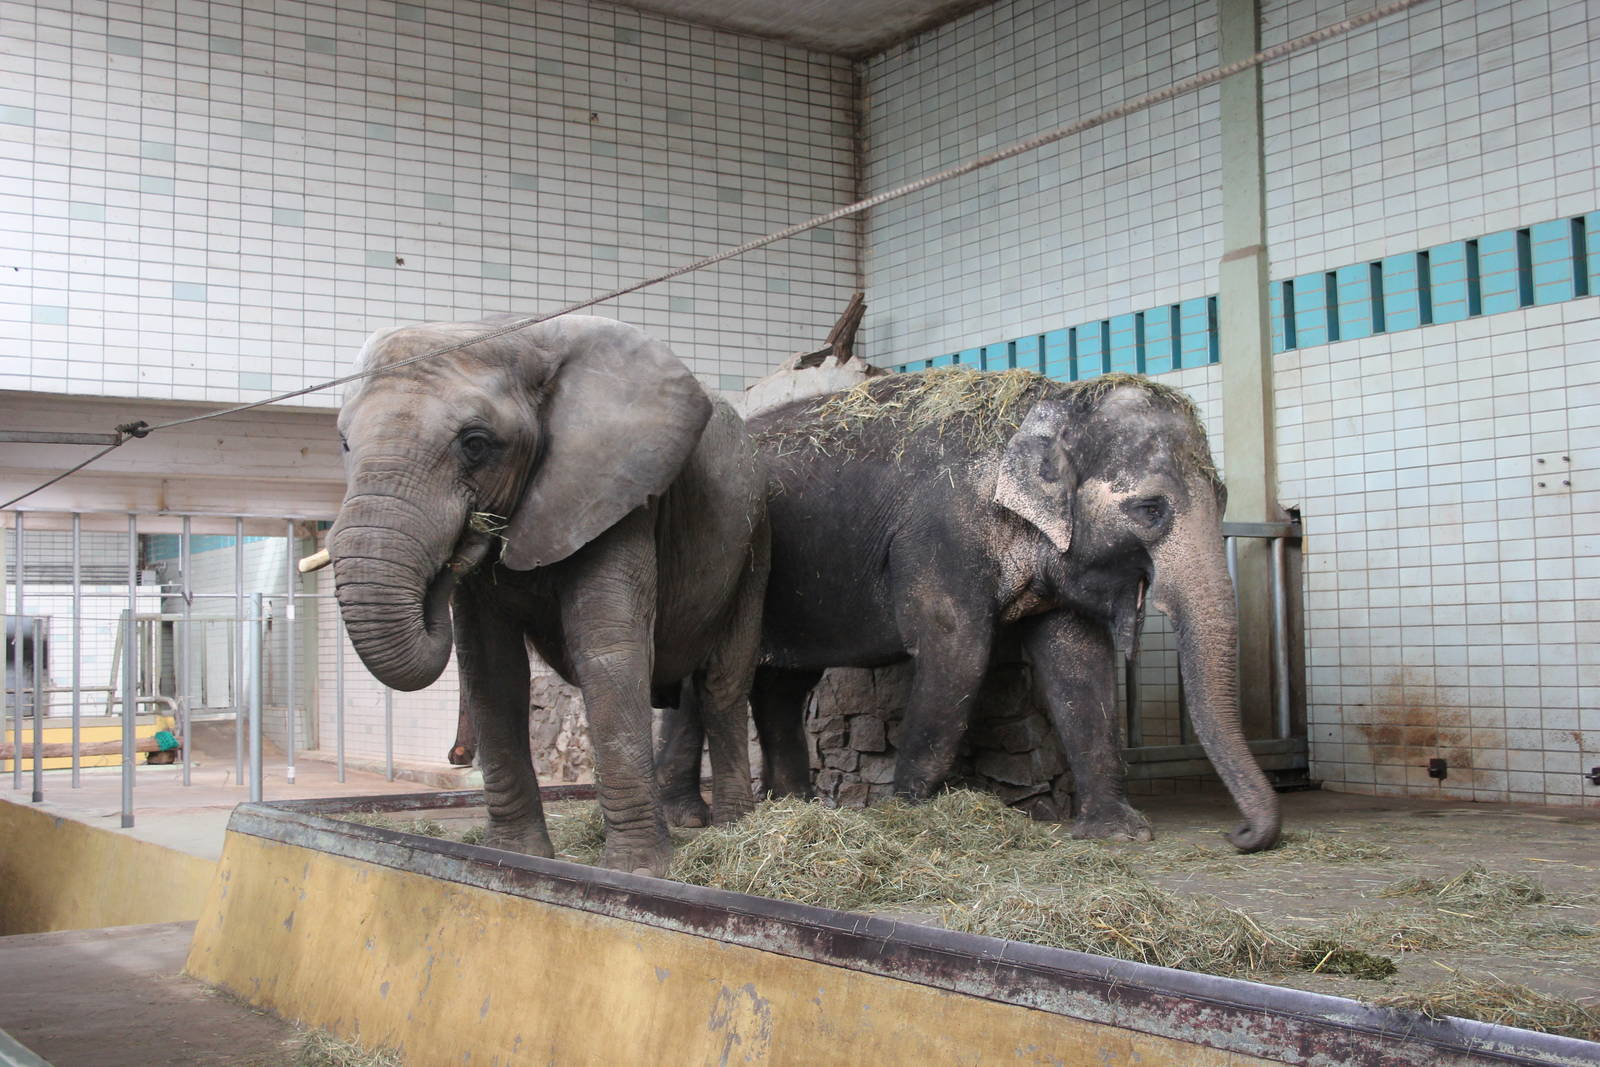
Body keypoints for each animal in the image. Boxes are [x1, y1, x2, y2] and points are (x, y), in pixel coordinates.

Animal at [327, 314, 769, 876]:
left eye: (475, 443)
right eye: (343, 443)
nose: (463, 544)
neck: (514, 333)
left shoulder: (619, 492)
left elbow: (606, 650)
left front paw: (637, 871)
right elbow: (490, 667)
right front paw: (514, 857)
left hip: (757, 542)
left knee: (722, 681)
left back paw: (733, 829)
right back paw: (690, 820)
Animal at [657, 368, 1281, 853]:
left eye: (1225, 499)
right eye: (1151, 509)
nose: (1239, 836)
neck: (1050, 403)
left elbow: (1079, 662)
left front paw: (1117, 833)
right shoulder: (941, 533)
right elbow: (957, 650)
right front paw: (907, 818)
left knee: (782, 683)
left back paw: (793, 805)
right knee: (706, 680)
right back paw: (692, 816)